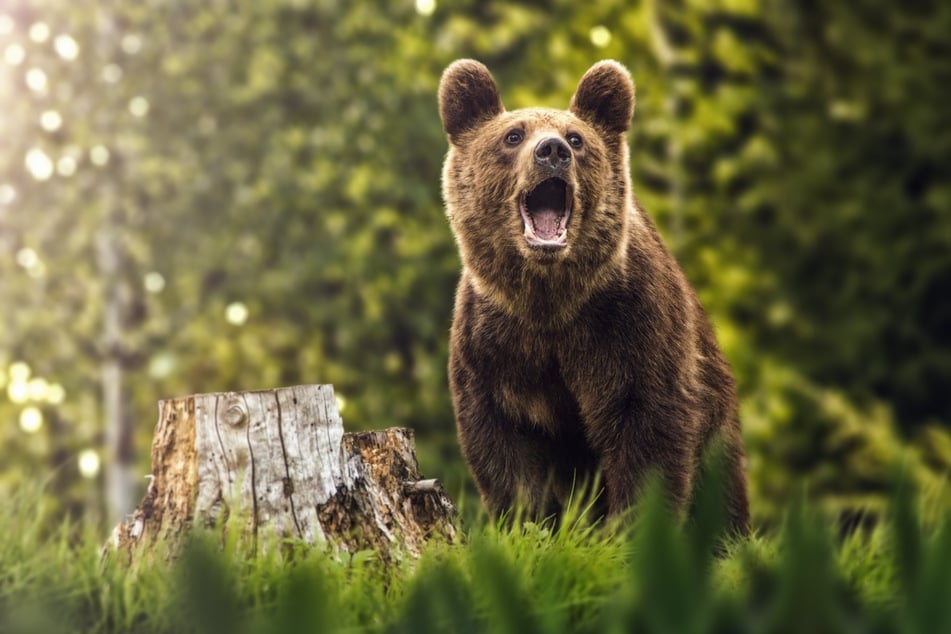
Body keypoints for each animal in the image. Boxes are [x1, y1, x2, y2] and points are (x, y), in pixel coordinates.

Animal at [438, 60, 752, 532]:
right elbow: (503, 445)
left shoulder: (629, 327)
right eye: (513, 135)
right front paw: (524, 524)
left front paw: (631, 530)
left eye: (576, 138)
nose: (551, 151)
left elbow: (647, 428)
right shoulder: (494, 345)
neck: (550, 299)